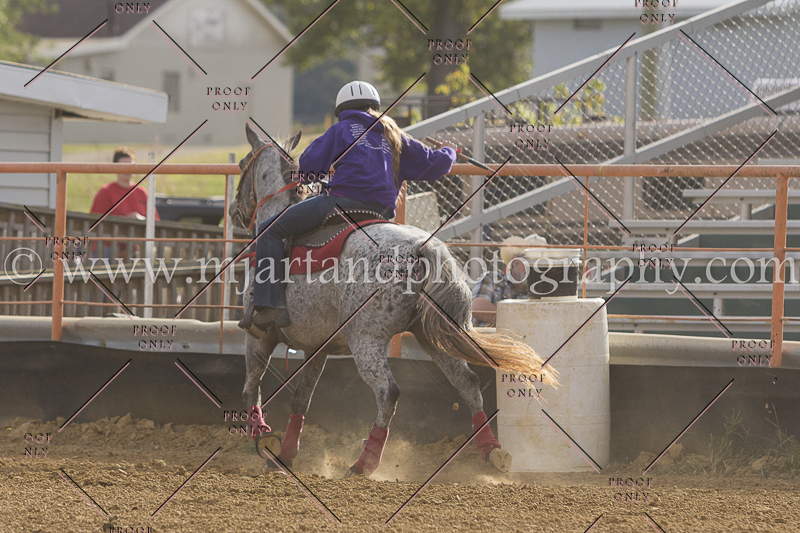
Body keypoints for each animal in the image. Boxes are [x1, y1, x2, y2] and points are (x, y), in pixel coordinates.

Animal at [230, 123, 558, 477]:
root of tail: (423, 248)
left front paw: (264, 440)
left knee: (388, 392)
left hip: (366, 340)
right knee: (468, 382)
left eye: (243, 164)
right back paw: (491, 452)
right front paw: (286, 453)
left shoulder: (259, 336)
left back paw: (364, 463)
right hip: (431, 336)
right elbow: (301, 398)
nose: (234, 210)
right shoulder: (318, 347)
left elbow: (251, 388)